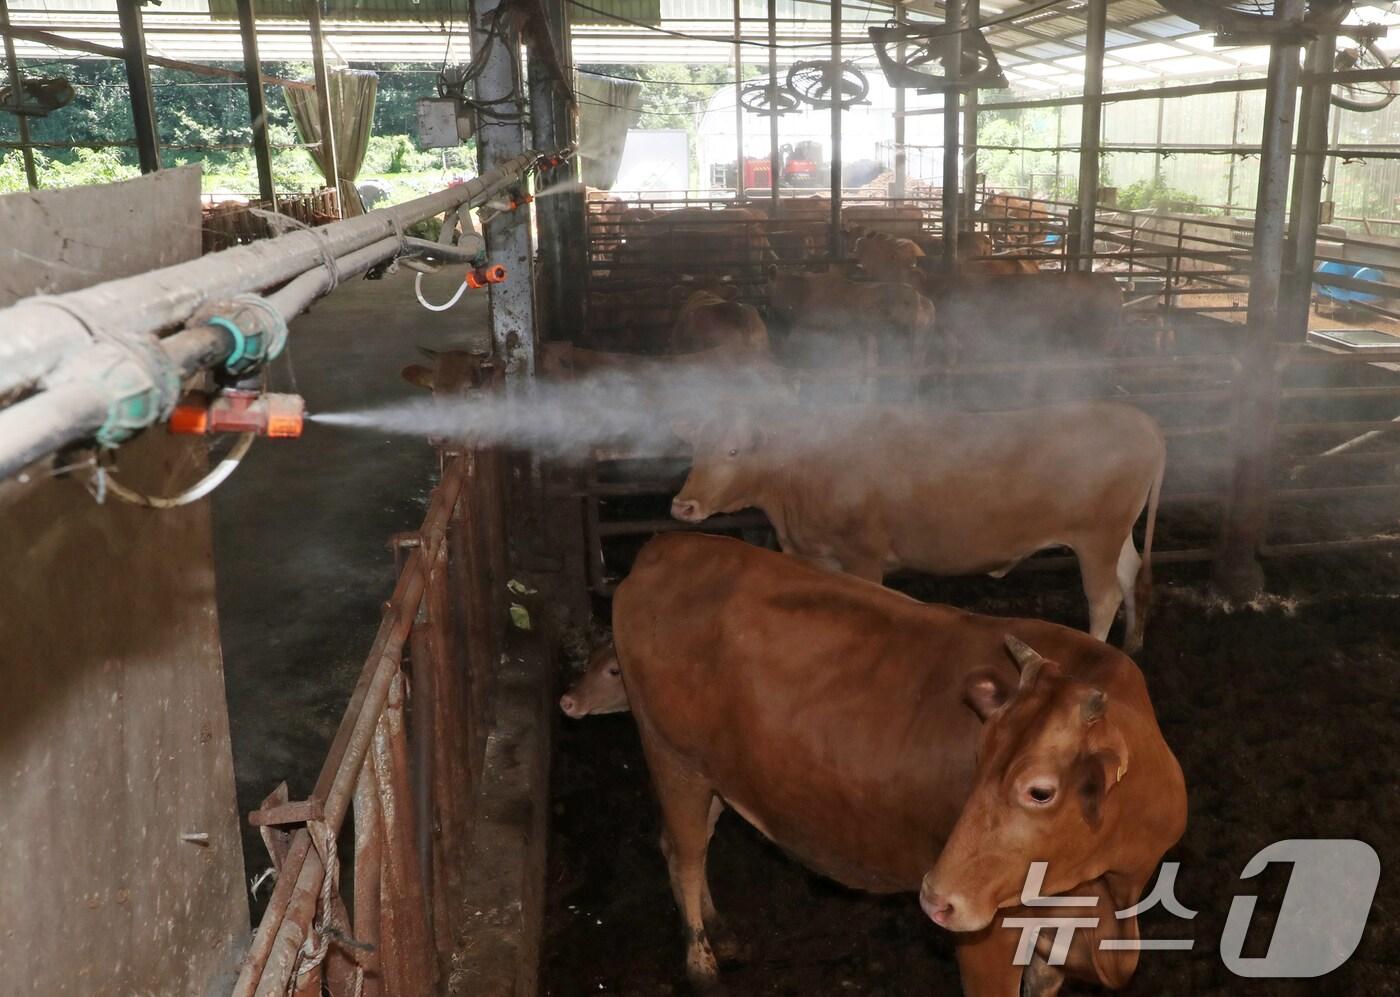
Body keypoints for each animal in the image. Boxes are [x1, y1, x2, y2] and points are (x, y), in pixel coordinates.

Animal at [618, 534, 1187, 997]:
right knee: (687, 853)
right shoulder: (987, 934)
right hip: (674, 759)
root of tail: (668, 548)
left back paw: (721, 932)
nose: (934, 897)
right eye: (978, 755)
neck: (1105, 894)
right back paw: (702, 964)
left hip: (716, 772)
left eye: (1040, 791)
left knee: (683, 843)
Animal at [672, 400, 1164, 649]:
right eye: (695, 448)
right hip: (1115, 535)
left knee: (1103, 596)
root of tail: (1143, 422)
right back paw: (1132, 643)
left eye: (733, 450)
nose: (682, 506)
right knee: (1129, 573)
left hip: (1096, 537)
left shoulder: (863, 556)